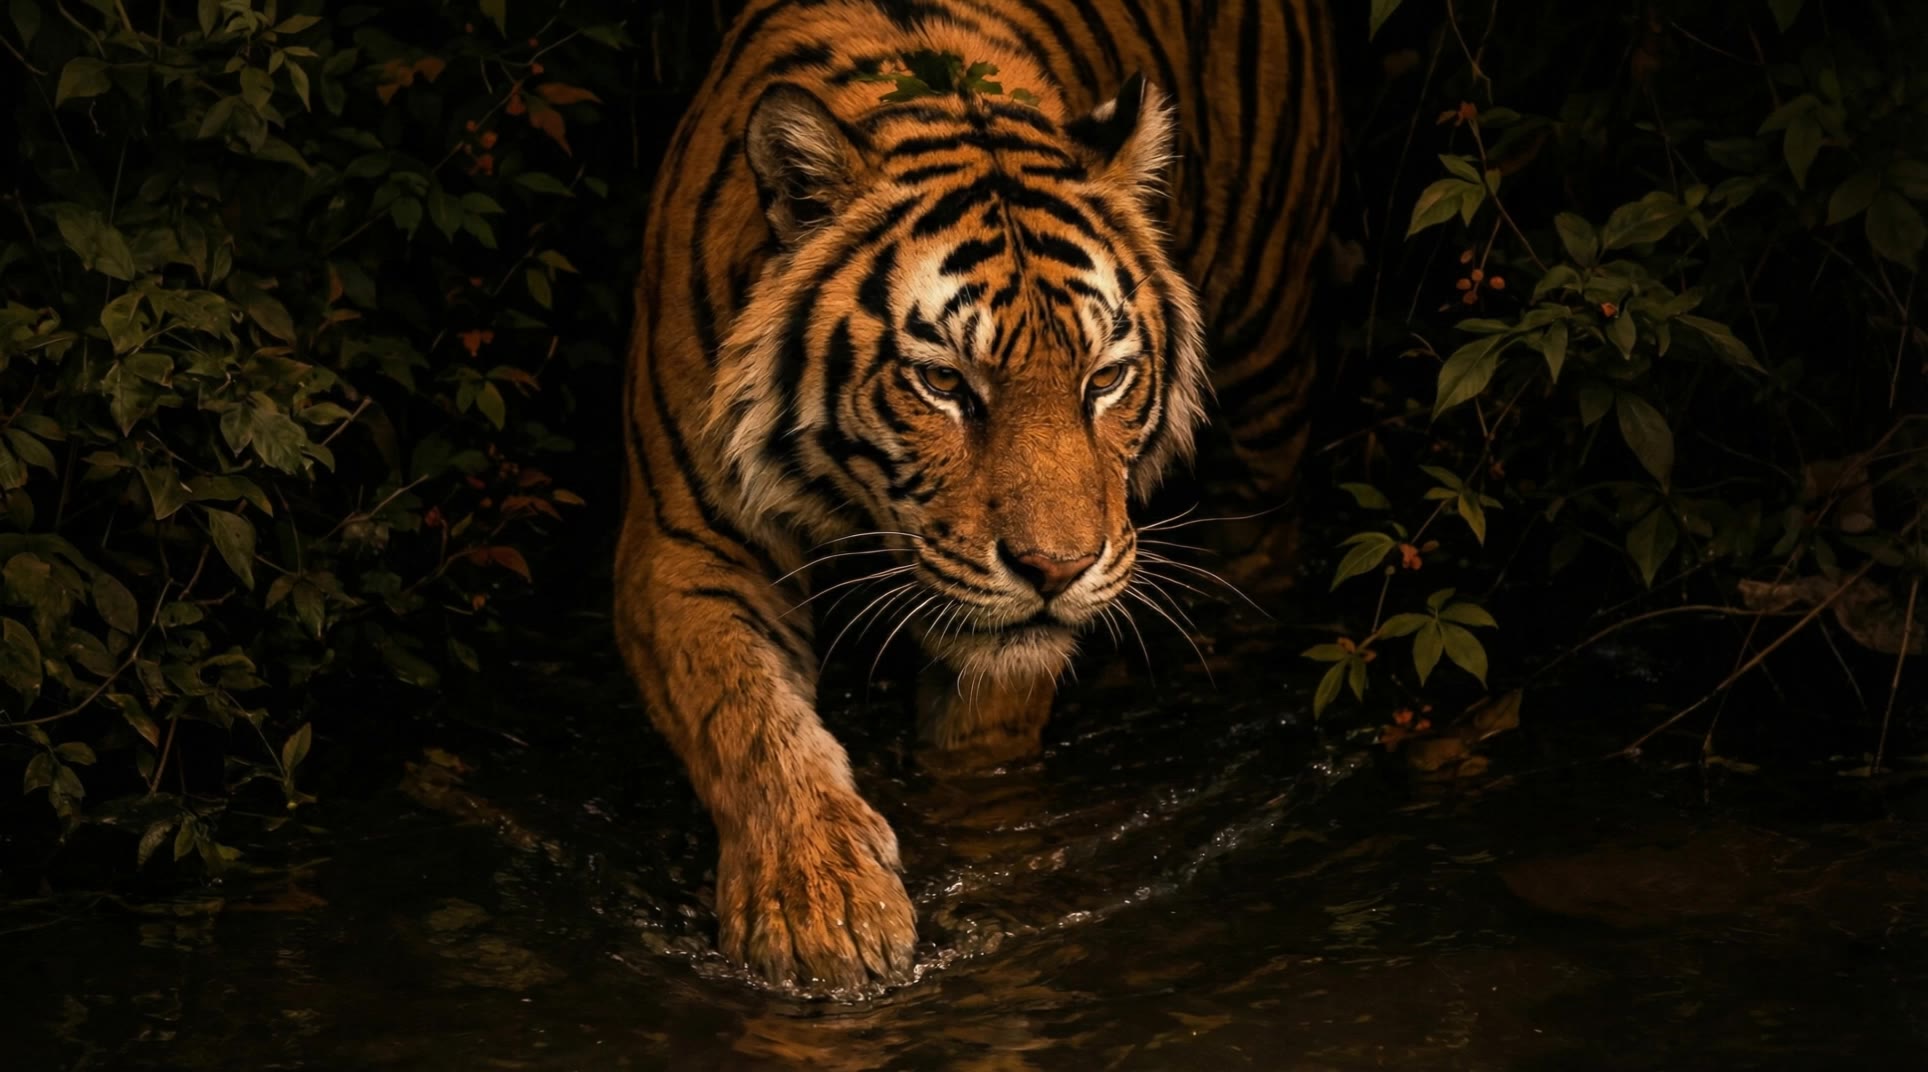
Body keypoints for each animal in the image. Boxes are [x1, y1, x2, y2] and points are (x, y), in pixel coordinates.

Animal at [618, 0, 1338, 990]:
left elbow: (979, 772)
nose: (1056, 570)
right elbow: (748, 721)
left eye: (1104, 380)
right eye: (944, 384)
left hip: (1267, 370)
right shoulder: (688, 540)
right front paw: (820, 909)